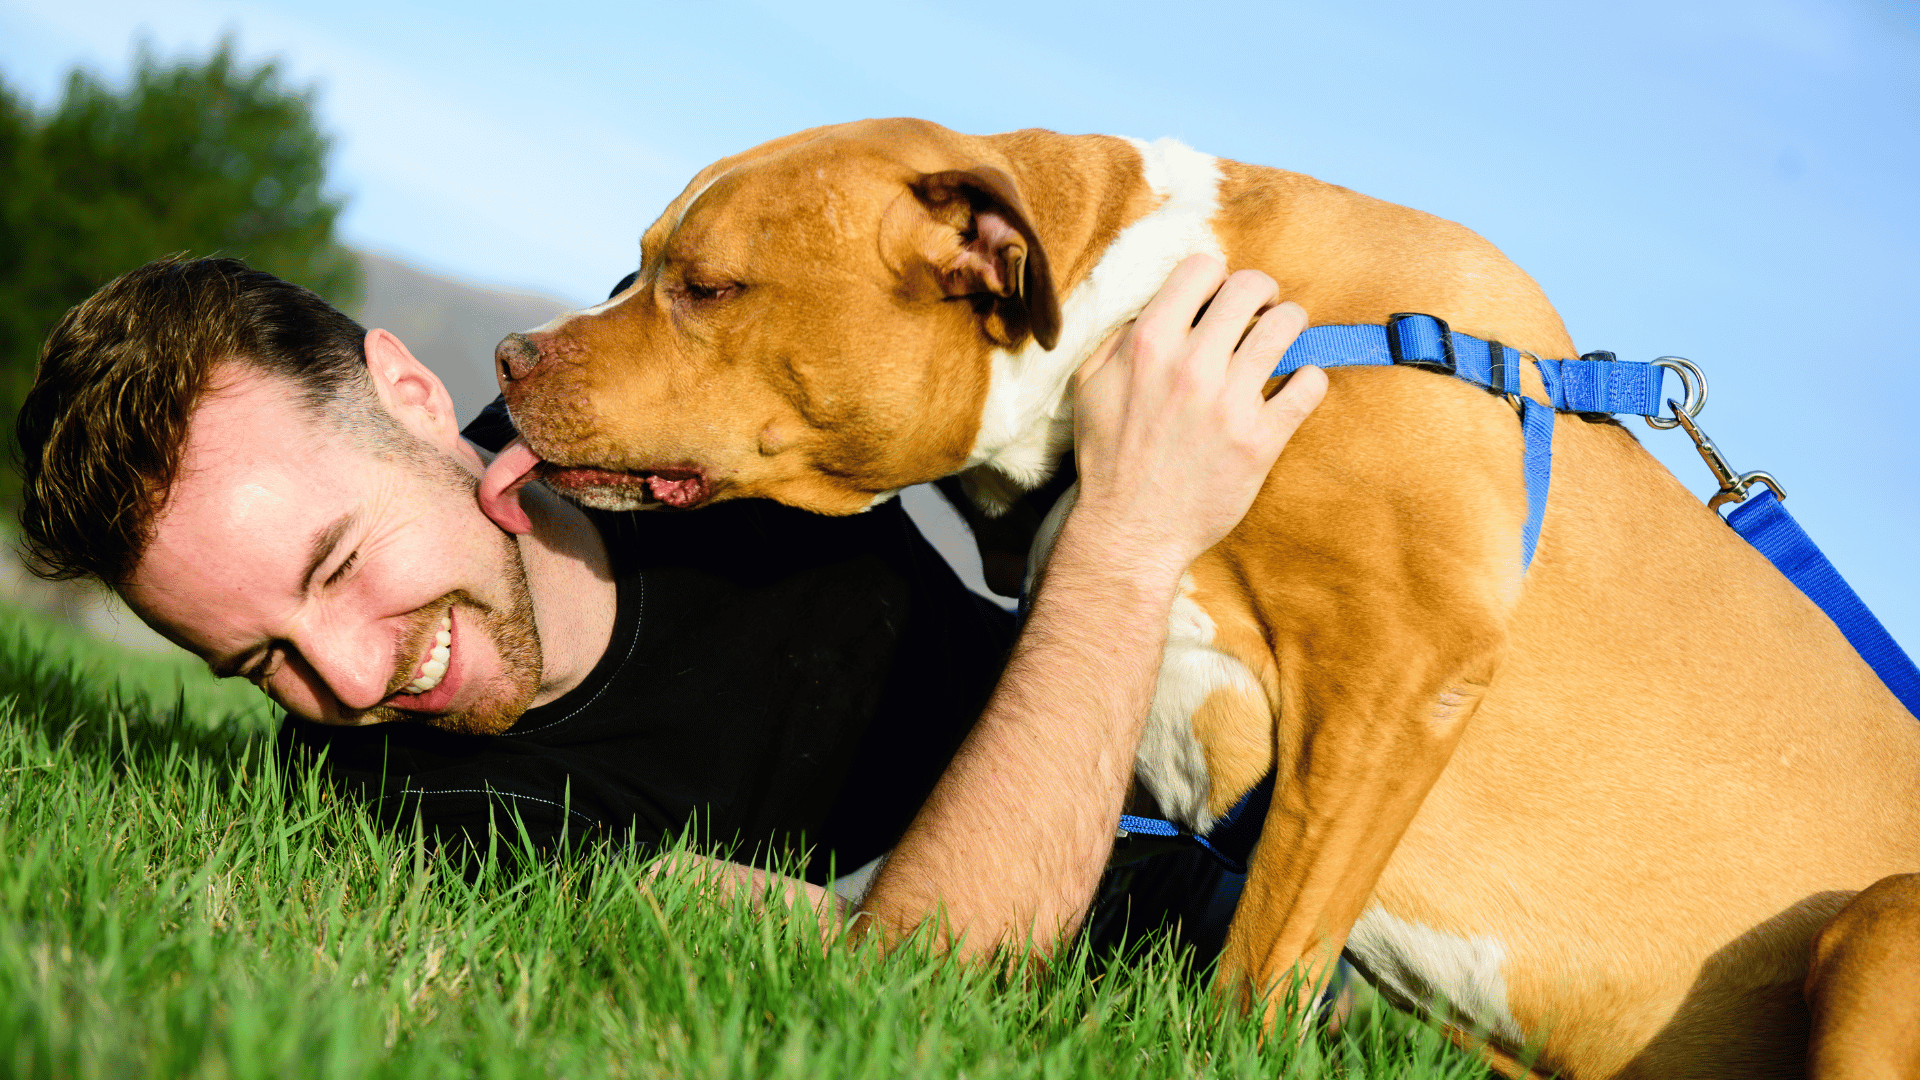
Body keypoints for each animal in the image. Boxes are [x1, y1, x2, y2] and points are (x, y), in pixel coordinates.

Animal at [480, 122, 1920, 1068]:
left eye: (706, 285)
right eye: (636, 263)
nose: (509, 352)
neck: (1132, 311)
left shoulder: (1403, 671)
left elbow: (1263, 955)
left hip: (1879, 930)